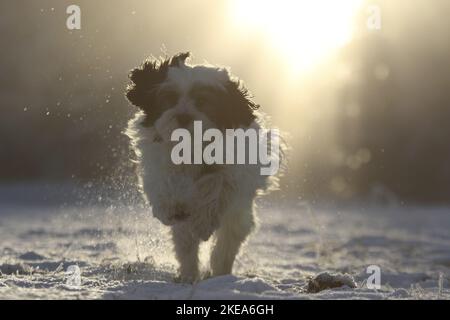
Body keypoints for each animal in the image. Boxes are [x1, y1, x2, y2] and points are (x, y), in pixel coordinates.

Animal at [124, 53, 278, 282]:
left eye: (203, 101)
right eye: (169, 98)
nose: (183, 116)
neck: (190, 148)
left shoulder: (232, 174)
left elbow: (215, 184)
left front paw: (204, 223)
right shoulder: (158, 163)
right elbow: (163, 183)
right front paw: (167, 208)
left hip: (237, 216)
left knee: (225, 245)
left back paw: (217, 272)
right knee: (187, 244)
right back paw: (189, 275)